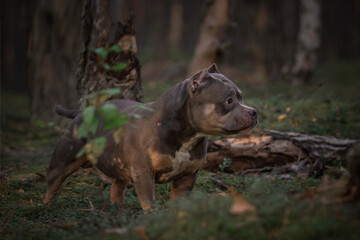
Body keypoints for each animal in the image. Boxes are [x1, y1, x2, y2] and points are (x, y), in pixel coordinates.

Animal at [43, 63, 258, 210]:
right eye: (229, 100)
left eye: (241, 97)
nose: (254, 112)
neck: (185, 134)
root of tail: (80, 113)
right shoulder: (143, 172)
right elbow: (149, 202)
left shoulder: (187, 177)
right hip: (62, 162)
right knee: (51, 187)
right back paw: (43, 209)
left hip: (118, 164)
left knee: (116, 188)